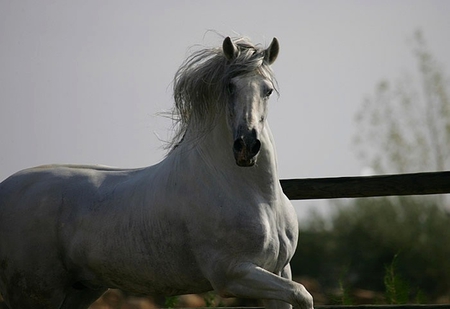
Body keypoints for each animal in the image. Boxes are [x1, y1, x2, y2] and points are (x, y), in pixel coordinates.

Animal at [0, 35, 314, 308]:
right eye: (230, 86)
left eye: (267, 90)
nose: (247, 146)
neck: (258, 197)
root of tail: (6, 188)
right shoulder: (233, 274)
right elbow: (302, 293)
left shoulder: (279, 270)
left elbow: (298, 293)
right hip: (37, 292)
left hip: (81, 290)